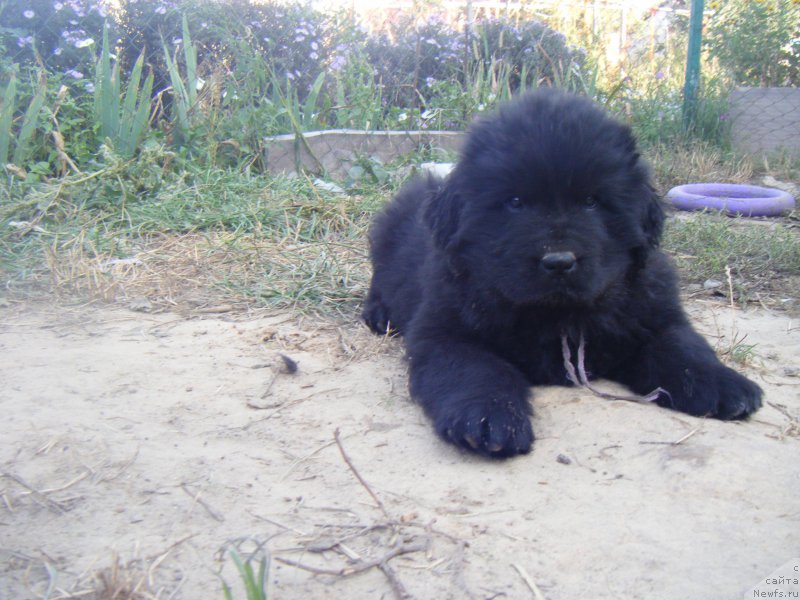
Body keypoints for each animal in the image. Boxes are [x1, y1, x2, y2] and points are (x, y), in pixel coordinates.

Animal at [362, 88, 764, 454]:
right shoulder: (445, 330)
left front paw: (724, 384)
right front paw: (488, 416)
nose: (559, 261)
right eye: (515, 202)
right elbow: (473, 367)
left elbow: (682, 345)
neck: (557, 314)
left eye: (591, 201)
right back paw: (378, 314)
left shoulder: (653, 313)